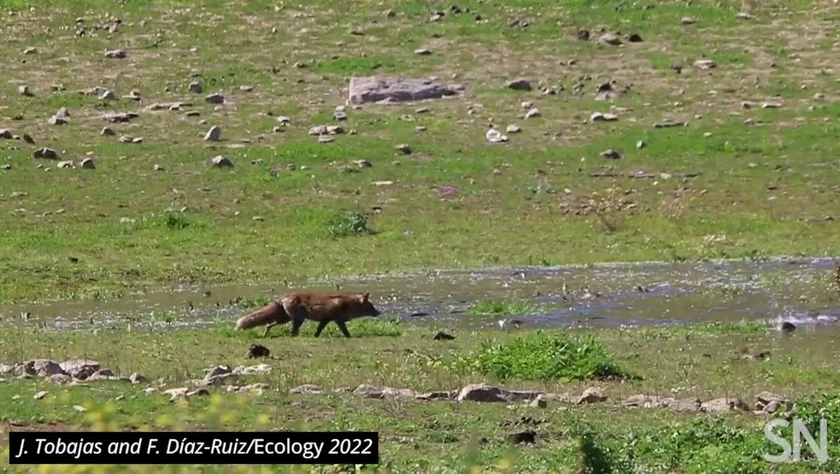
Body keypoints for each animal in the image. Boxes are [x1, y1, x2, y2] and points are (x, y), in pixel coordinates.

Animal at [234, 292, 381, 338]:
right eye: (372, 306)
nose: (379, 312)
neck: (347, 305)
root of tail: (285, 296)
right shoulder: (333, 319)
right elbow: (345, 331)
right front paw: (349, 337)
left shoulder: (327, 320)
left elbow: (318, 331)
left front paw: (315, 337)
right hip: (298, 319)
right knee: (293, 332)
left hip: (284, 319)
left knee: (269, 324)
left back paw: (265, 334)